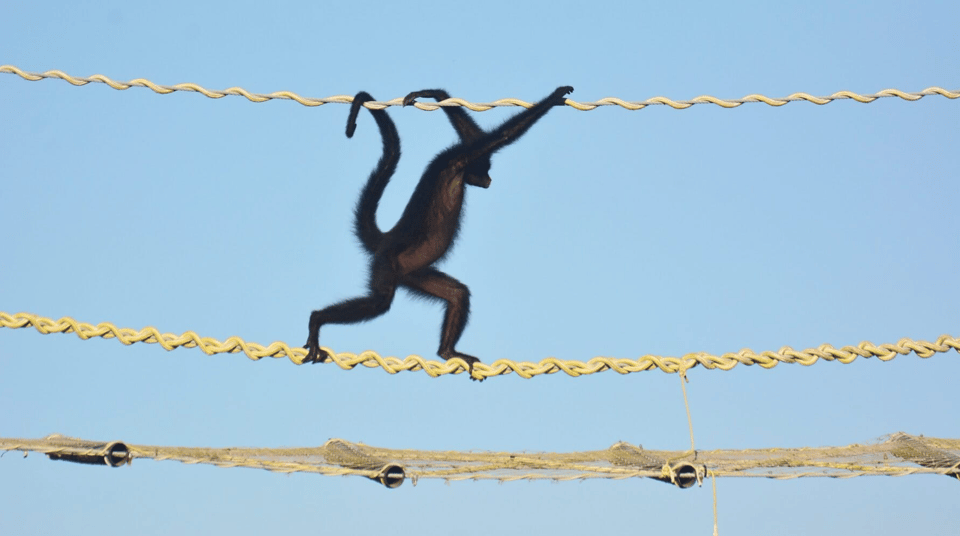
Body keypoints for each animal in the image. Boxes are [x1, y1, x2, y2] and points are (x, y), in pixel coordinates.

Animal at [304, 86, 574, 379]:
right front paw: (555, 96)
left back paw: (447, 352)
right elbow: (501, 136)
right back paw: (317, 319)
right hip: (387, 263)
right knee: (381, 302)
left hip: (412, 273)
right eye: (486, 168)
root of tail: (387, 238)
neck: (456, 165)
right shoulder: (460, 158)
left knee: (457, 294)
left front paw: (436, 94)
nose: (489, 179)